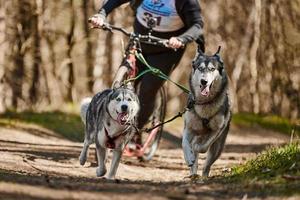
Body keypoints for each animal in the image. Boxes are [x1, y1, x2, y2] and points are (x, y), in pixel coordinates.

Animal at [182, 46, 231, 177]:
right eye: (200, 68)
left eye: (212, 69)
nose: (204, 81)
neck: (204, 103)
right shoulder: (189, 128)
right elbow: (185, 144)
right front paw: (189, 158)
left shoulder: (218, 129)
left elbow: (203, 146)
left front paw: (196, 146)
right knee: (195, 163)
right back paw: (193, 174)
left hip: (218, 148)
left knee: (206, 166)